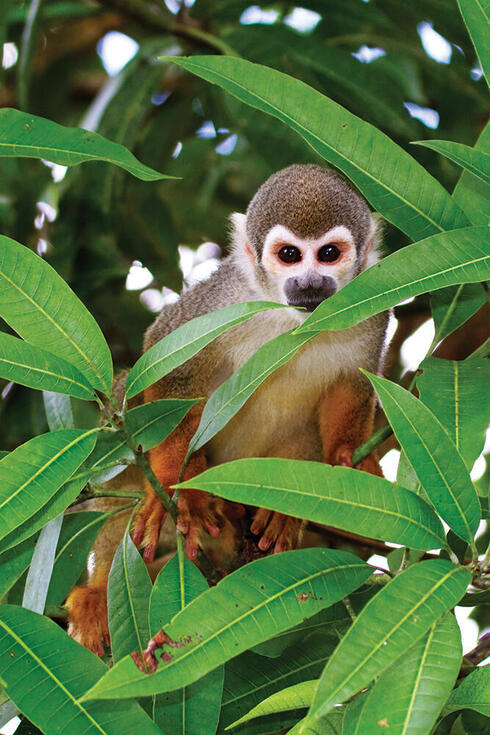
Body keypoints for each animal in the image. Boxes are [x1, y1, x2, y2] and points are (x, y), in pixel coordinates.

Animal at [65, 164, 386, 652]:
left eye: (329, 254)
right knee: (124, 409)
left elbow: (353, 385)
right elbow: (166, 367)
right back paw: (101, 588)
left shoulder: (372, 308)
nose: (310, 283)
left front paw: (344, 456)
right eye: (290, 255)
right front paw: (181, 486)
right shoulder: (222, 302)